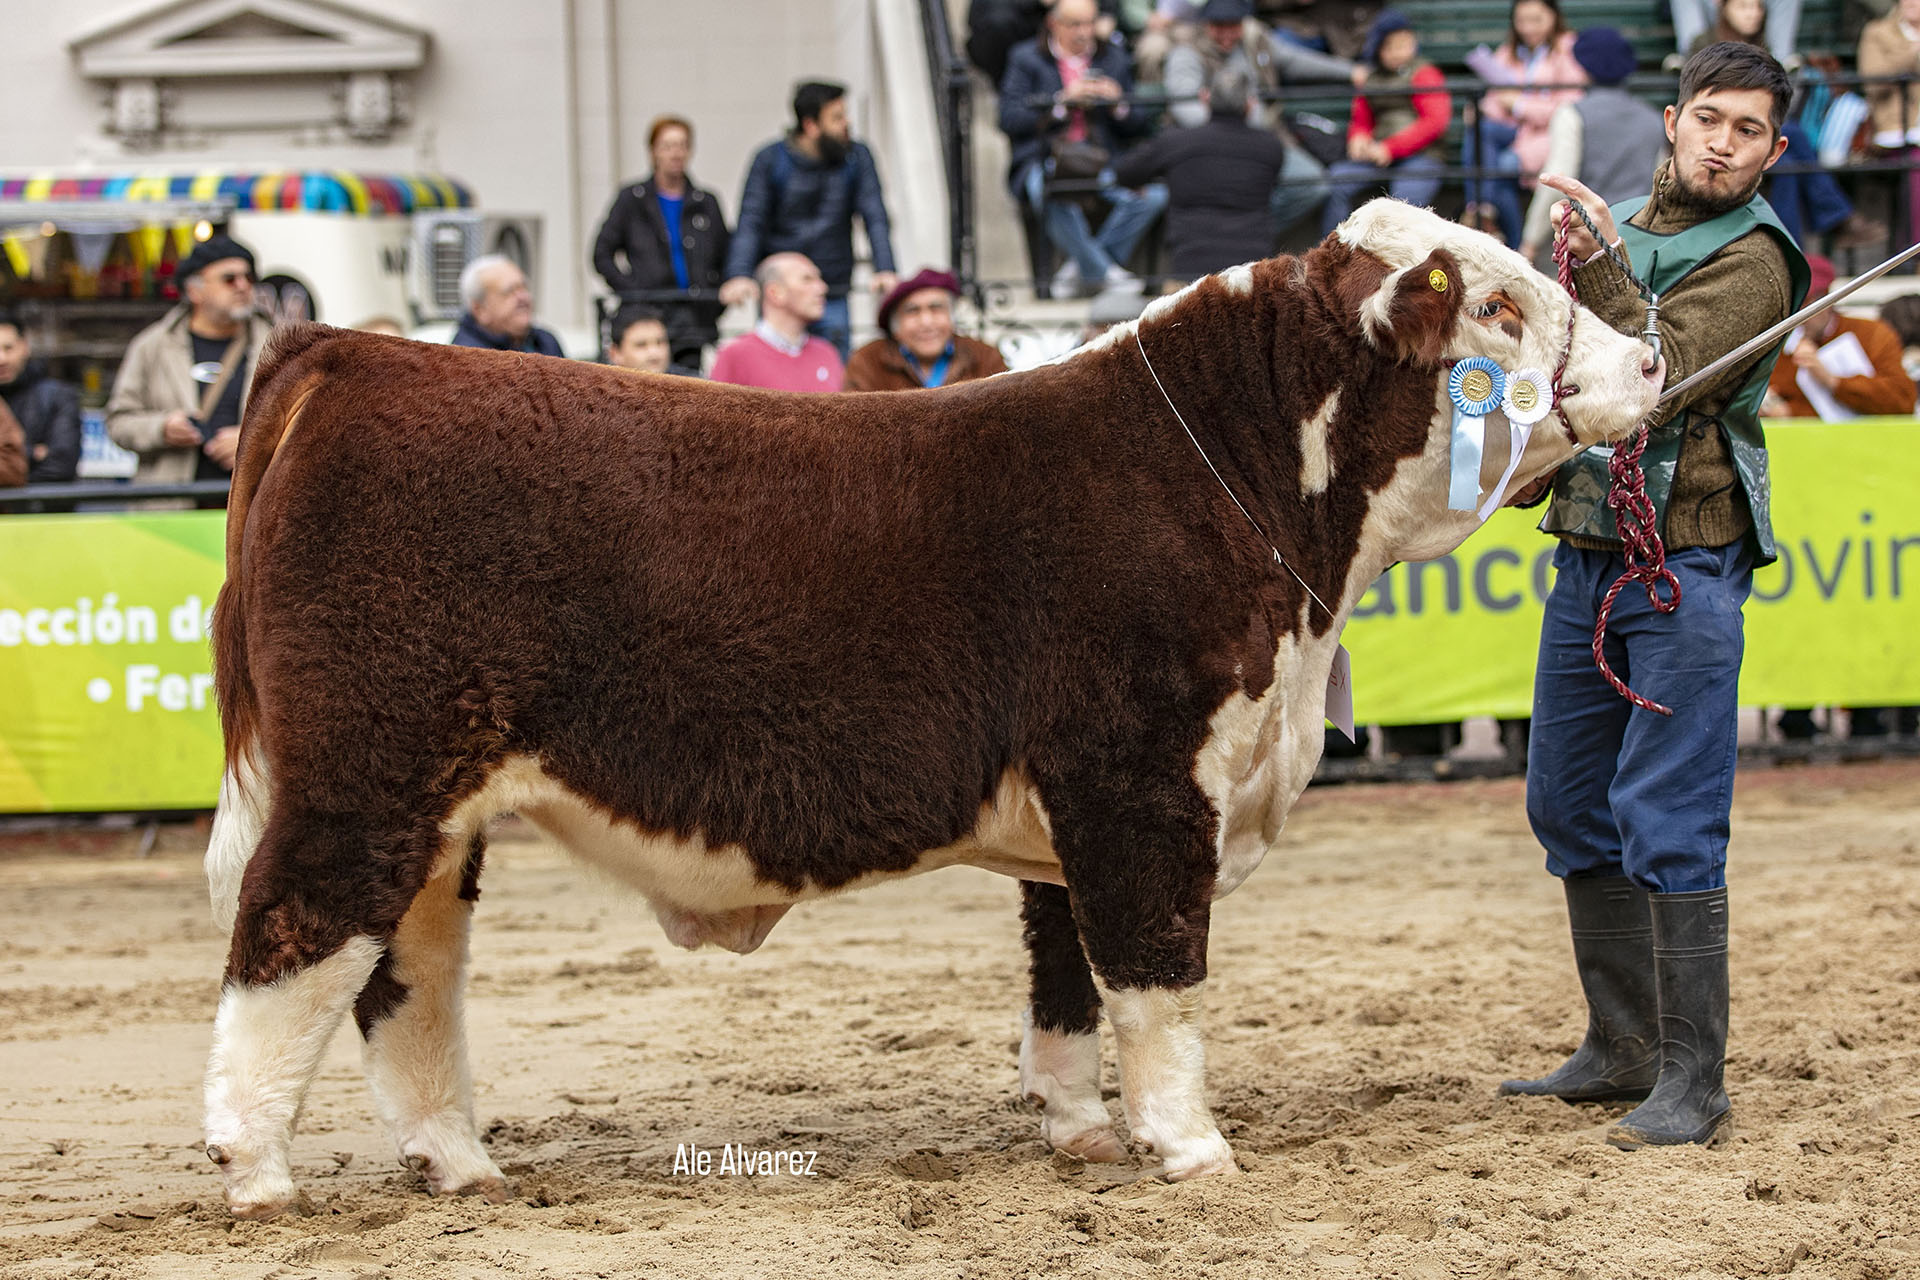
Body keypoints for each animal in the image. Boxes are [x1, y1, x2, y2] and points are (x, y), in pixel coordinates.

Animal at [198, 197, 1666, 1212]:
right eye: (1497, 308)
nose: (1653, 364)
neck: (1235, 479)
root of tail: (346, 354)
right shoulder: (1141, 781)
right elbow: (1159, 976)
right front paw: (1191, 1147)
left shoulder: (1081, 812)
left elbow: (1065, 974)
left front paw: (1083, 1129)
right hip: (365, 777)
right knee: (288, 941)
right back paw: (253, 1166)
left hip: (439, 811)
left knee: (407, 978)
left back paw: (458, 1162)